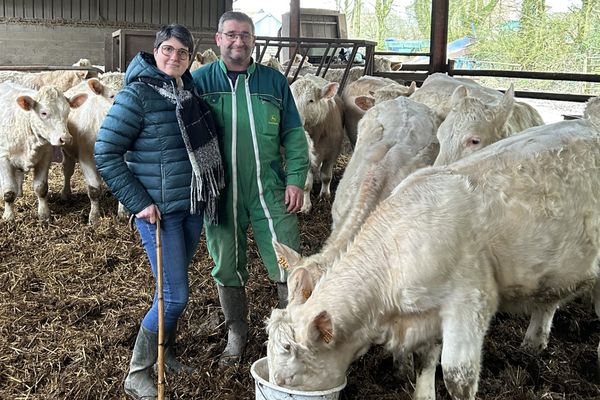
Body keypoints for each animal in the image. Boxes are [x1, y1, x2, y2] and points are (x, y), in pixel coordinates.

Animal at [0, 83, 87, 220]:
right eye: (44, 113)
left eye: (67, 112)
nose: (66, 139)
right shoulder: (4, 158)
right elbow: (8, 192)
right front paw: (9, 217)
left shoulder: (46, 156)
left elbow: (41, 187)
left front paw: (44, 214)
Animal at [61, 72, 123, 223]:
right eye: (112, 96)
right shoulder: (87, 158)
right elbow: (94, 190)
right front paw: (94, 217)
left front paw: (123, 213)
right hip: (67, 151)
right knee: (67, 170)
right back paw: (66, 194)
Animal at [268, 97, 600, 400]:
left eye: (289, 379)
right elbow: (426, 358)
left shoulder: (470, 304)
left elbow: (457, 376)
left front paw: (401, 368)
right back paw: (534, 342)